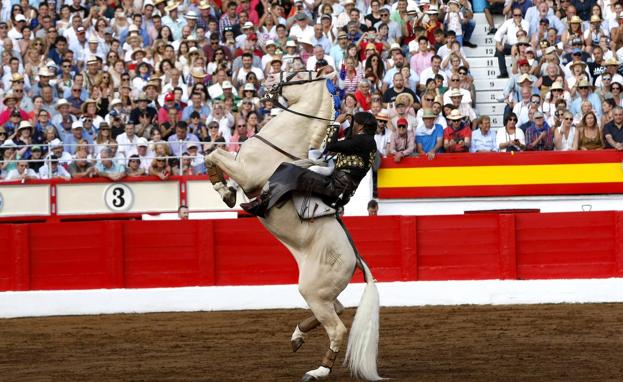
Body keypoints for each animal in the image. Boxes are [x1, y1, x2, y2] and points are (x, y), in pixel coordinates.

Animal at [206, 71, 380, 382]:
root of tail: (356, 258)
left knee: (337, 327)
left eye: (297, 72)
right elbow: (213, 154)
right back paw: (297, 336)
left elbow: (213, 154)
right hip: (320, 291)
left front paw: (224, 192)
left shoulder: (247, 172)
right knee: (338, 308)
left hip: (313, 290)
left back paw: (318, 370)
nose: (267, 83)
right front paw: (226, 190)